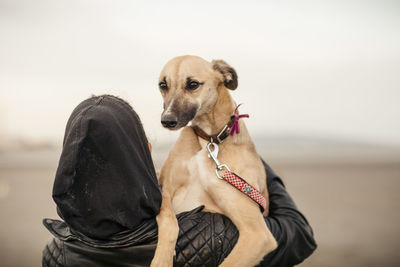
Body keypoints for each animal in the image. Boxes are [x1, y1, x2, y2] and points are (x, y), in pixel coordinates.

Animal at [151, 55, 278, 266]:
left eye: (193, 84)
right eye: (163, 85)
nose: (167, 120)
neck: (210, 141)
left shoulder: (258, 234)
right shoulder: (165, 190)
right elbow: (169, 220)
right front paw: (162, 259)